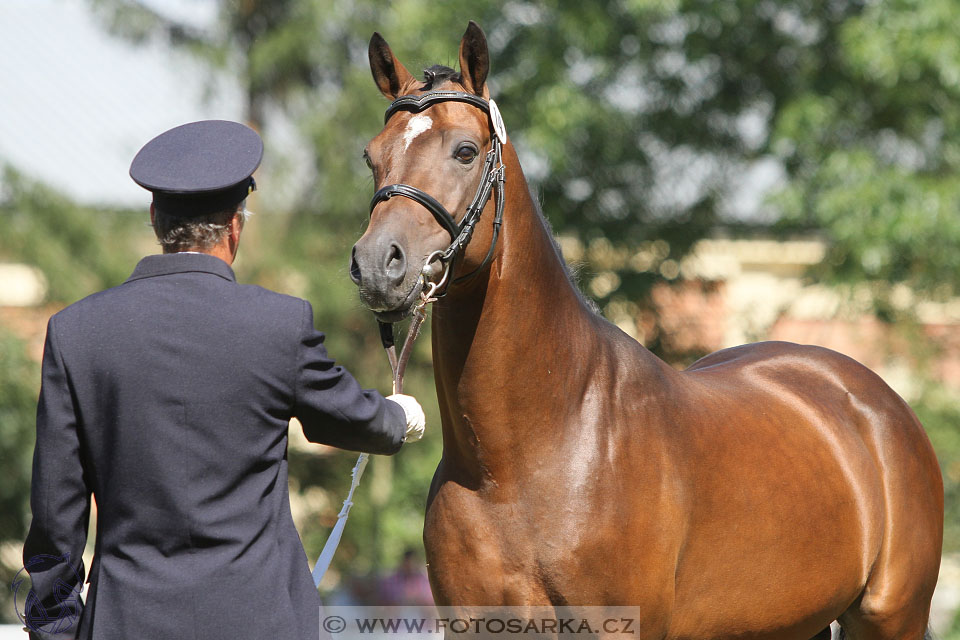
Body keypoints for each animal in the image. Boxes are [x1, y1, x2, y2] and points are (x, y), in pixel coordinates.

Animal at [346, 21, 944, 640]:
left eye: (465, 151)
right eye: (372, 157)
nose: (378, 264)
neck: (521, 460)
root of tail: (875, 401)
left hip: (891, 618)